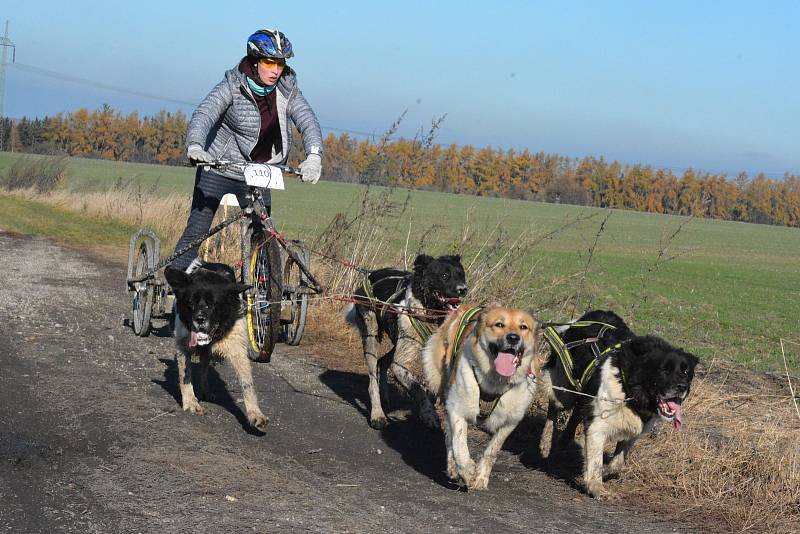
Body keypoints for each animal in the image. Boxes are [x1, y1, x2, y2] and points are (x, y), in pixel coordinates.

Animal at [164, 264, 270, 436]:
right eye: (190, 302)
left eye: (213, 304)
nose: (199, 319)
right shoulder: (183, 346)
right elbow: (185, 376)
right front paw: (190, 402)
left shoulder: (236, 349)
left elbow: (247, 384)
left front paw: (255, 414)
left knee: (205, 369)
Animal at [346, 255, 468, 432]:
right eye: (444, 275)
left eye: (461, 275)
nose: (463, 289)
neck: (428, 311)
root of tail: (371, 274)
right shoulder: (400, 364)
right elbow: (418, 389)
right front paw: (429, 414)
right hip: (371, 337)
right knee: (372, 379)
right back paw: (377, 414)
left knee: (383, 362)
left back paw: (385, 397)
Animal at [422, 304, 540, 492]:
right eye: (499, 324)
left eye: (523, 327)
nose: (513, 338)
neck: (496, 380)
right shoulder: (457, 407)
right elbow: (459, 444)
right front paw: (467, 471)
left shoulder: (510, 420)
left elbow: (493, 450)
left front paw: (481, 477)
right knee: (449, 435)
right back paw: (453, 466)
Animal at [536, 312, 700, 500]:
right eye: (664, 370)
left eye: (686, 372)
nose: (682, 387)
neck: (628, 388)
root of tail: (583, 318)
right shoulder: (598, 425)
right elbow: (595, 461)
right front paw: (596, 488)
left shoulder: (633, 431)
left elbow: (618, 463)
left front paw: (607, 472)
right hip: (565, 390)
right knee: (554, 406)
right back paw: (546, 442)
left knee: (576, 414)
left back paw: (564, 441)